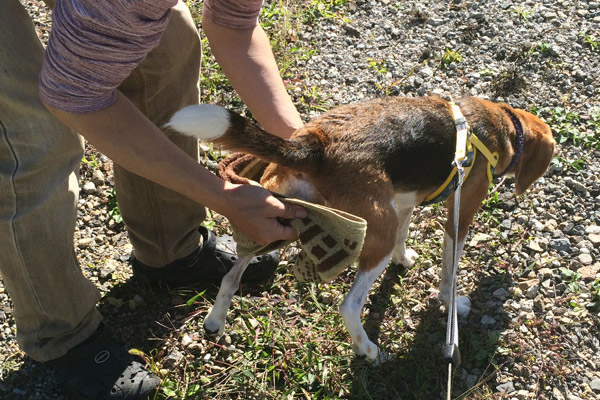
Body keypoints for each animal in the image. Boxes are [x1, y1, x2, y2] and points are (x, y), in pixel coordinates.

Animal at [166, 96, 556, 362]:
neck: (496, 123)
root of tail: (315, 144)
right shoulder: (459, 215)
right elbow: (449, 271)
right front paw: (451, 303)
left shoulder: (404, 203)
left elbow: (404, 236)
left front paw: (404, 260)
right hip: (373, 233)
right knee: (349, 306)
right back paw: (368, 349)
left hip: (280, 219)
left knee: (232, 275)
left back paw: (215, 321)